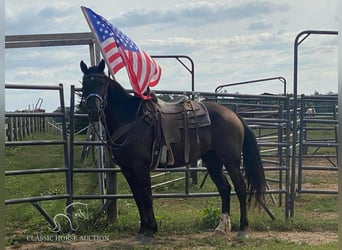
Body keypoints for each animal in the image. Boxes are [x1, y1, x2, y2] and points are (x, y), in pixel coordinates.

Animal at [81, 59, 268, 243]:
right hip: (212, 161)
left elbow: (146, 197)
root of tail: (234, 115)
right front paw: (142, 230)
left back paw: (243, 229)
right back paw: (220, 229)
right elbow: (138, 198)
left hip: (230, 161)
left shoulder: (140, 168)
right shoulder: (127, 170)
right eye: (84, 84)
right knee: (224, 188)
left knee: (240, 188)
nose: (94, 112)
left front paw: (151, 231)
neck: (130, 120)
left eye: (102, 83)